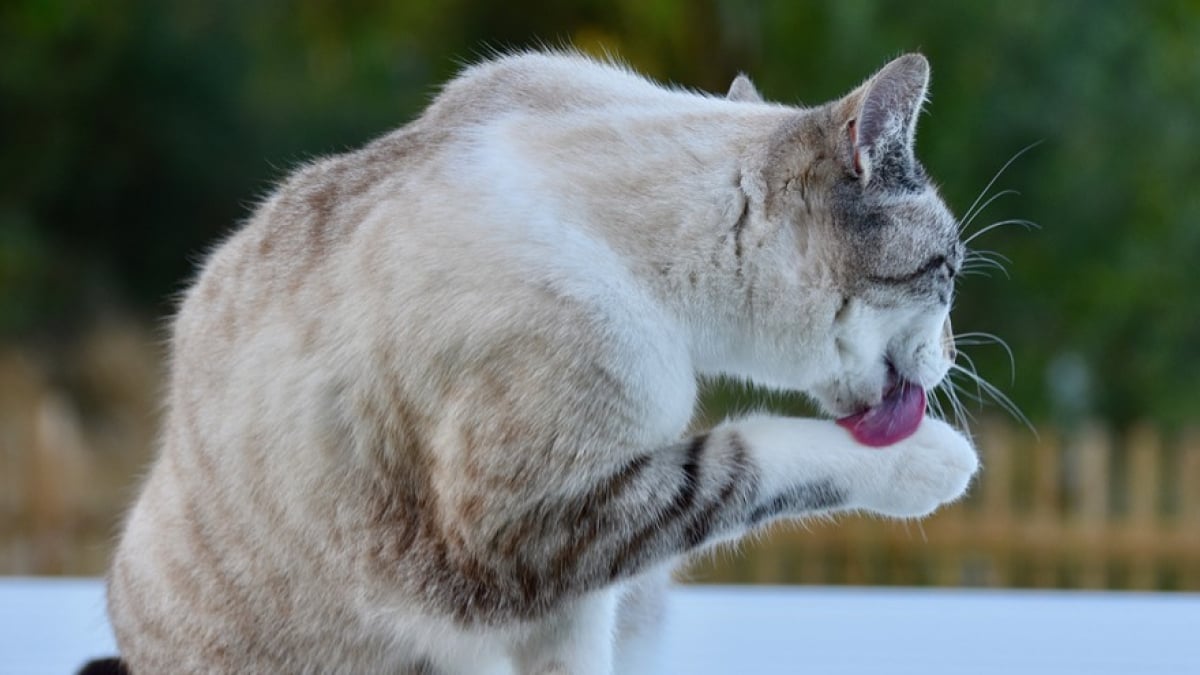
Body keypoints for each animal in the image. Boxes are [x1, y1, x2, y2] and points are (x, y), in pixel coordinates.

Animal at [108, 49, 979, 667]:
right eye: (949, 272)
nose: (952, 354)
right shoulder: (521, 537)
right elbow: (750, 457)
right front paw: (939, 461)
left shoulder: (574, 595)